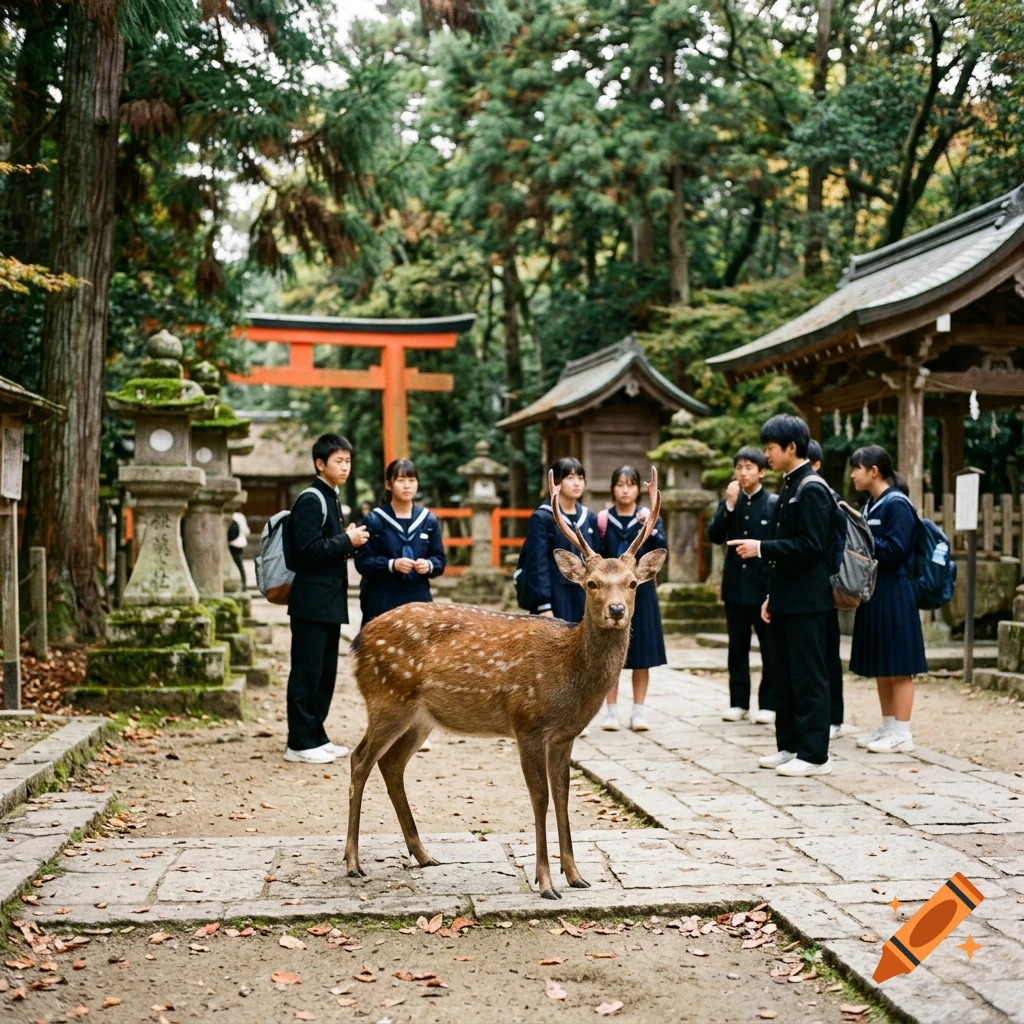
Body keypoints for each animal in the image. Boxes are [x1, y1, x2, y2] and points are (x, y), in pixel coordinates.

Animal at [343, 468, 666, 899]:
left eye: (632, 583)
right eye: (592, 584)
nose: (616, 610)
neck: (568, 676)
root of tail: (359, 641)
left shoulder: (564, 735)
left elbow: (563, 797)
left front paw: (576, 875)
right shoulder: (526, 722)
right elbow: (540, 798)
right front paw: (545, 882)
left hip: (420, 717)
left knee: (391, 764)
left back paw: (424, 854)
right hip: (386, 697)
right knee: (360, 759)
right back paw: (353, 863)